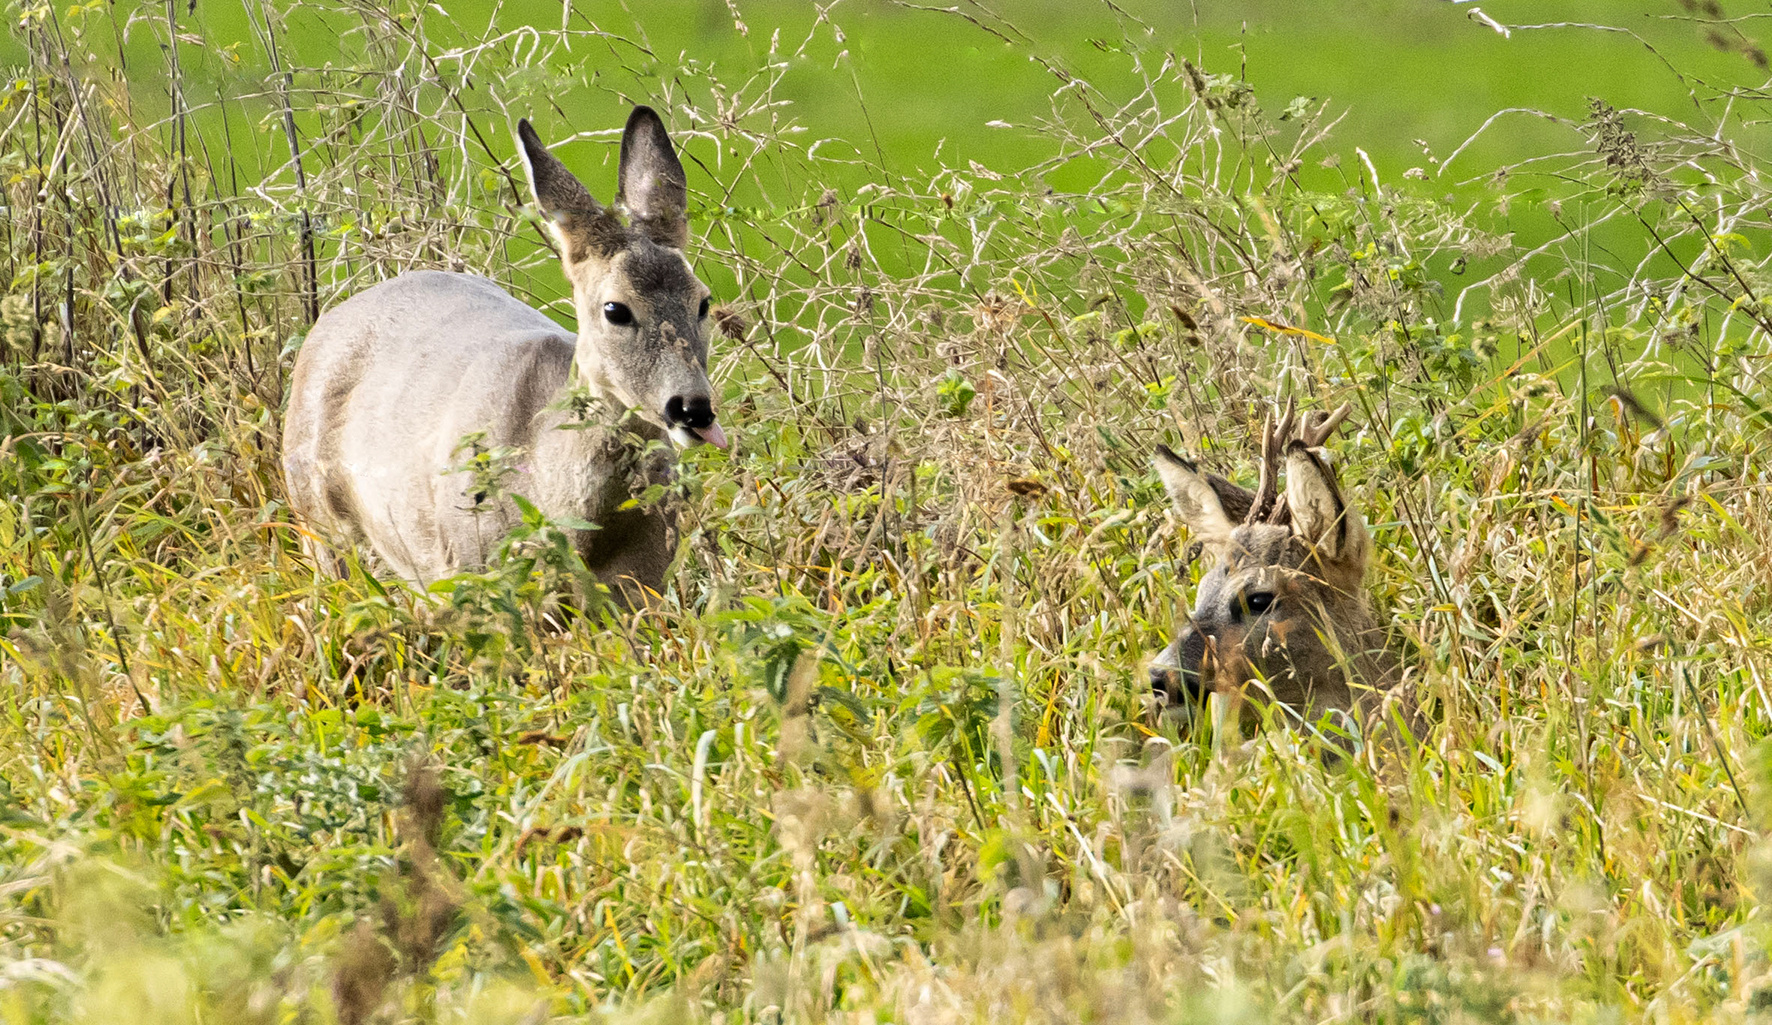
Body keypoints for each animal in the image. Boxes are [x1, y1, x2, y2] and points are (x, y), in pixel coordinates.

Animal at [279, 105, 722, 599]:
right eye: (615, 309)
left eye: (703, 301)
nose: (692, 408)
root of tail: (325, 321)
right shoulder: (472, 563)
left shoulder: (646, 579)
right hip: (314, 511)